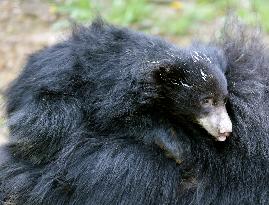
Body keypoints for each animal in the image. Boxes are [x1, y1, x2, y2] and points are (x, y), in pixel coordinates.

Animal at [0, 18, 268, 203]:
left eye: (224, 100)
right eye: (206, 101)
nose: (226, 131)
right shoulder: (118, 99)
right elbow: (129, 120)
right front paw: (176, 147)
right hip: (52, 114)